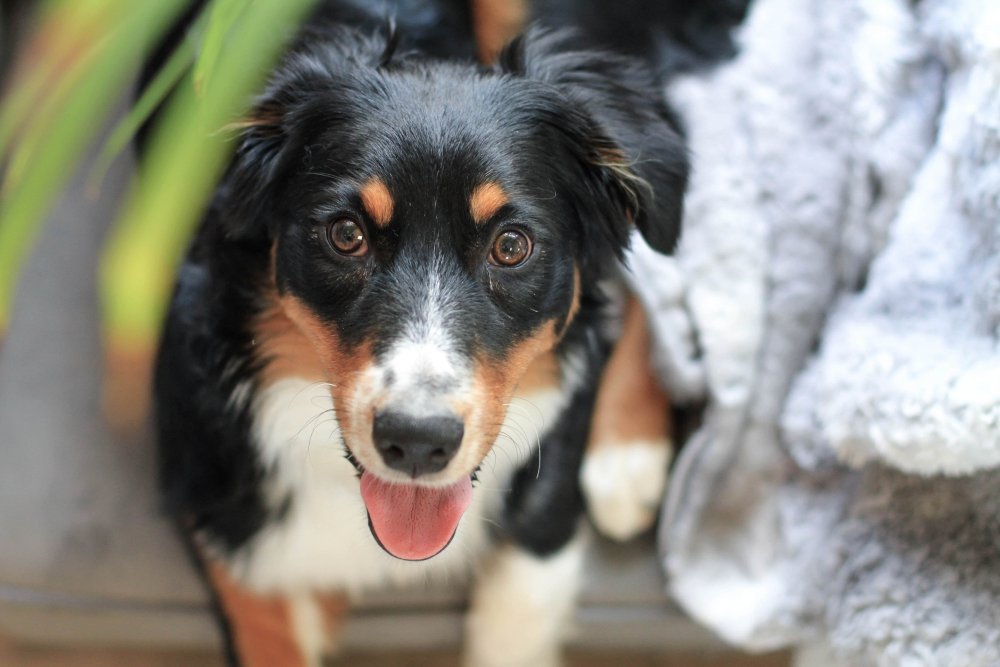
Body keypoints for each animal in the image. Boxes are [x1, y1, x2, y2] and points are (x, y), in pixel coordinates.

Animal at [152, 2, 692, 664]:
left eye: (511, 246)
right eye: (346, 234)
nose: (417, 441)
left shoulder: (544, 516)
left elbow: (518, 605)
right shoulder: (226, 518)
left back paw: (626, 456)